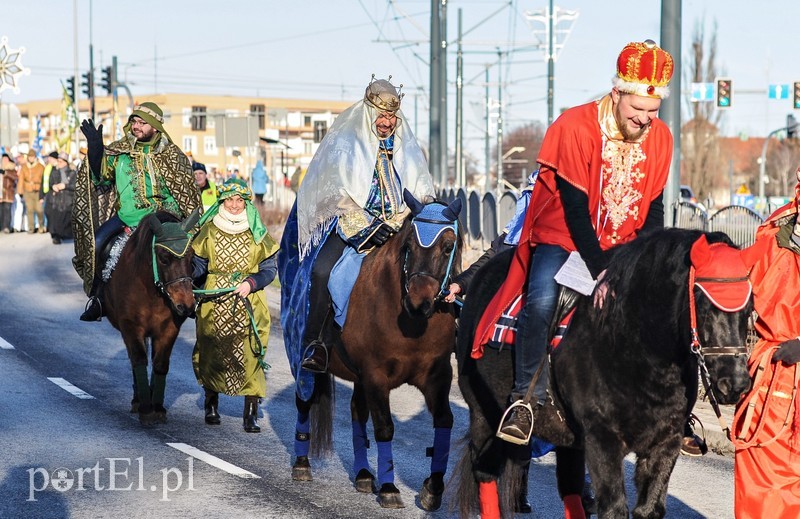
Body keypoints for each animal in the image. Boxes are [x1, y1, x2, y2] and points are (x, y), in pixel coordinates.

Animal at [102, 211, 198, 426]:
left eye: (191, 257)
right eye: (163, 259)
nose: (186, 305)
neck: (152, 290)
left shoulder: (169, 328)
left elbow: (160, 363)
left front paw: (158, 407)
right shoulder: (130, 326)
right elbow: (139, 359)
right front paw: (146, 408)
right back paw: (138, 400)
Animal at [282, 192, 462, 512]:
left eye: (448, 246)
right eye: (409, 246)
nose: (419, 301)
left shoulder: (437, 375)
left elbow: (444, 422)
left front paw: (433, 488)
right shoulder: (376, 376)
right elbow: (385, 428)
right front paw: (390, 488)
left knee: (356, 410)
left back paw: (364, 474)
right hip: (304, 360)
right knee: (304, 400)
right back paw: (302, 464)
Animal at [454, 231, 752, 519]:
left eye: (749, 309)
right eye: (704, 305)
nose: (735, 383)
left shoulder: (665, 443)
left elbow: (649, 509)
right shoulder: (602, 441)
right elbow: (614, 509)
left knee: (570, 488)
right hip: (484, 416)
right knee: (485, 473)